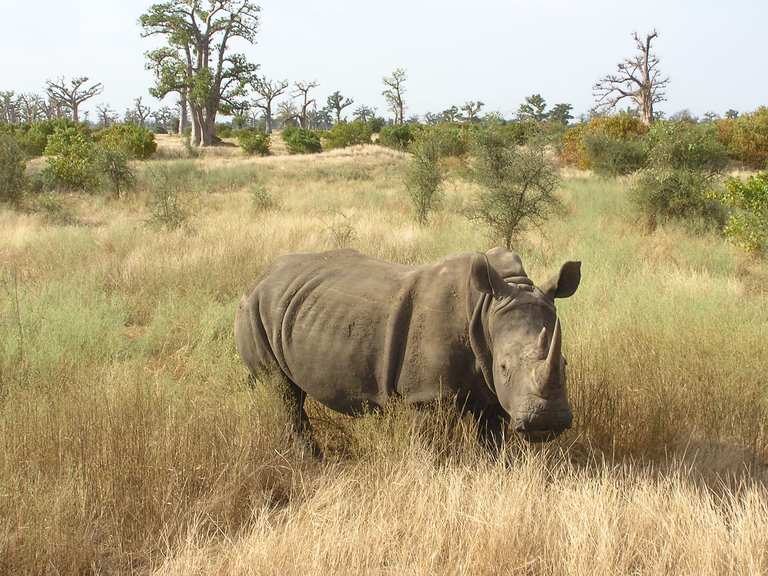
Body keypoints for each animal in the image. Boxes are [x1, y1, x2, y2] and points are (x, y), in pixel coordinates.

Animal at [234, 248, 584, 454]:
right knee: (282, 390)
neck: (485, 309)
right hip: (255, 309)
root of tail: (260, 277)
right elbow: (431, 449)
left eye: (565, 363)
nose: (547, 421)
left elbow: (491, 439)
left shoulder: (491, 392)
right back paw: (312, 462)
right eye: (505, 367)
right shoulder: (425, 397)